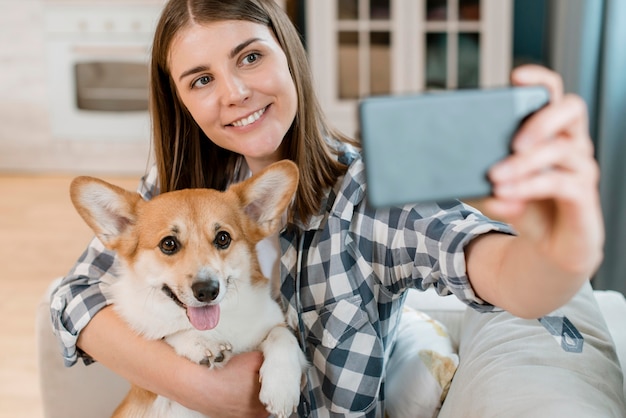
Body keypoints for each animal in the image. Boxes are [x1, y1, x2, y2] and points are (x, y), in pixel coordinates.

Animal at [70, 161, 308, 418]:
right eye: (168, 243)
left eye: (223, 238)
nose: (207, 291)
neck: (219, 324)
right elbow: (169, 332)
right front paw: (199, 343)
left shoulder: (276, 329)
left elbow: (282, 335)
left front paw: (281, 388)